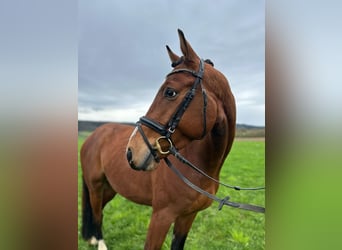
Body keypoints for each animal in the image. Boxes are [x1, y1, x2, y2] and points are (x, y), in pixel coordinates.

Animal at [81, 29, 235, 250]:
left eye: (170, 92)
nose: (131, 152)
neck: (200, 166)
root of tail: (93, 136)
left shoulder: (188, 217)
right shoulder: (161, 217)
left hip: (109, 187)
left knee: (98, 211)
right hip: (95, 186)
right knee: (96, 212)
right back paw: (100, 242)